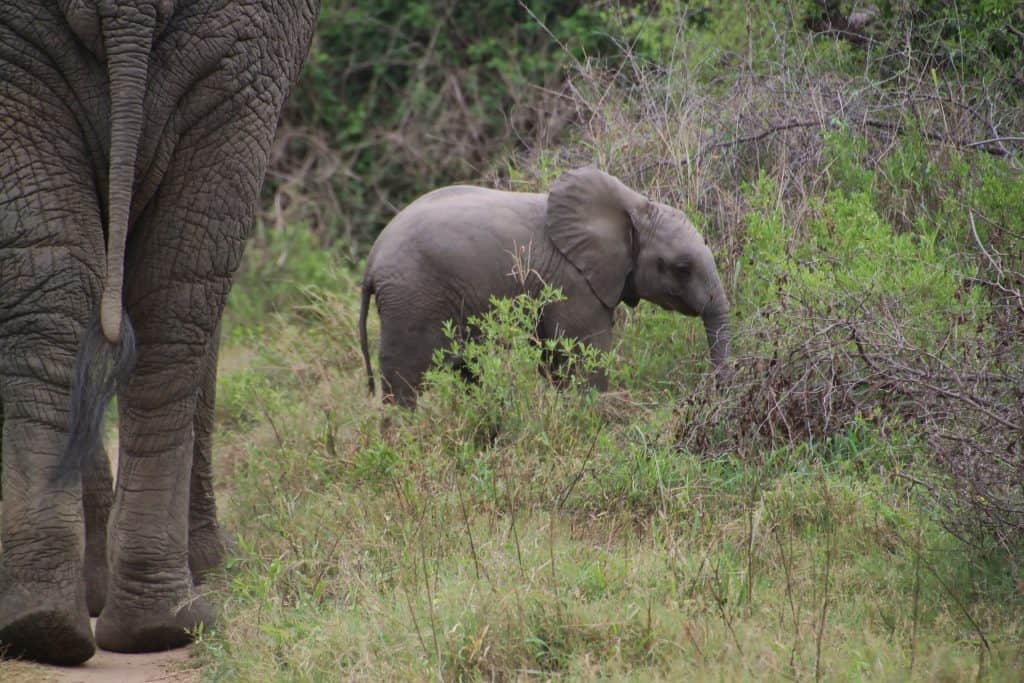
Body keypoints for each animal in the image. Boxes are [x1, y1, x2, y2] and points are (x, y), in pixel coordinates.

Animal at [360, 165, 729, 409]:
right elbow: (583, 359)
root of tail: (373, 258)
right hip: (413, 296)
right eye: (682, 268)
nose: (710, 396)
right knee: (405, 378)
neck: (634, 206)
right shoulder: (574, 283)